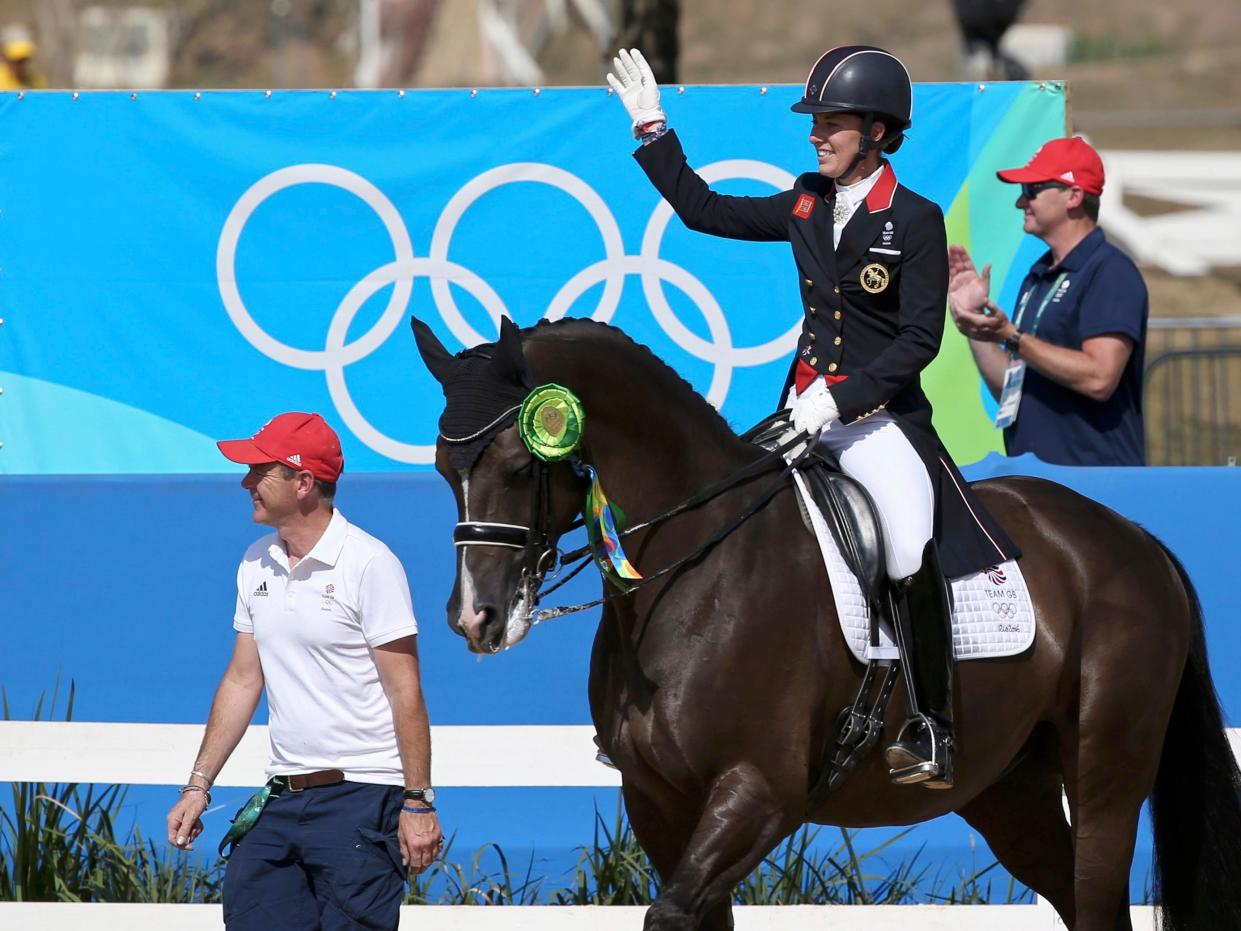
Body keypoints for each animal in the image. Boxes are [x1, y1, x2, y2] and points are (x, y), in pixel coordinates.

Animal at [414, 317, 1241, 928]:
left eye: (522, 462)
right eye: (442, 468)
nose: (475, 616)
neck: (694, 563)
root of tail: (1134, 538)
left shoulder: (759, 791)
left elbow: (670, 912)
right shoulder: (658, 803)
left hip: (1104, 773)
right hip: (1011, 793)